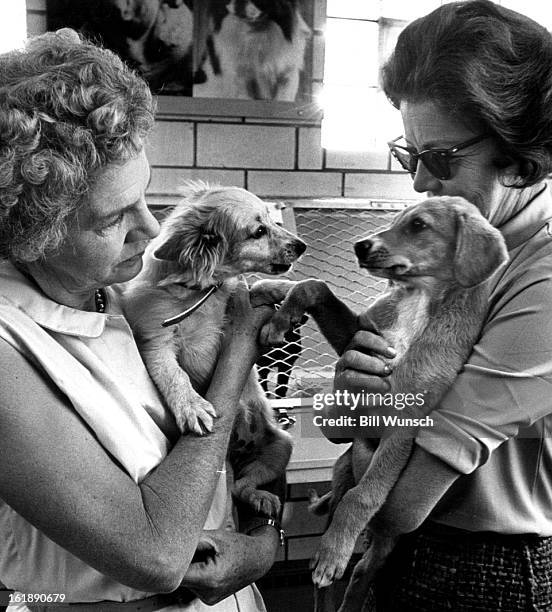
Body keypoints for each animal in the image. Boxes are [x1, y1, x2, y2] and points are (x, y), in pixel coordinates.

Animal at [252, 198, 506, 608]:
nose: (359, 245)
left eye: (419, 225)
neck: (418, 301)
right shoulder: (359, 339)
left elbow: (364, 495)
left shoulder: (405, 424)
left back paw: (339, 565)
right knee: (341, 545)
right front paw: (279, 312)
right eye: (396, 219)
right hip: (341, 472)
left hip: (388, 533)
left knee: (362, 568)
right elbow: (315, 286)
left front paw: (336, 552)